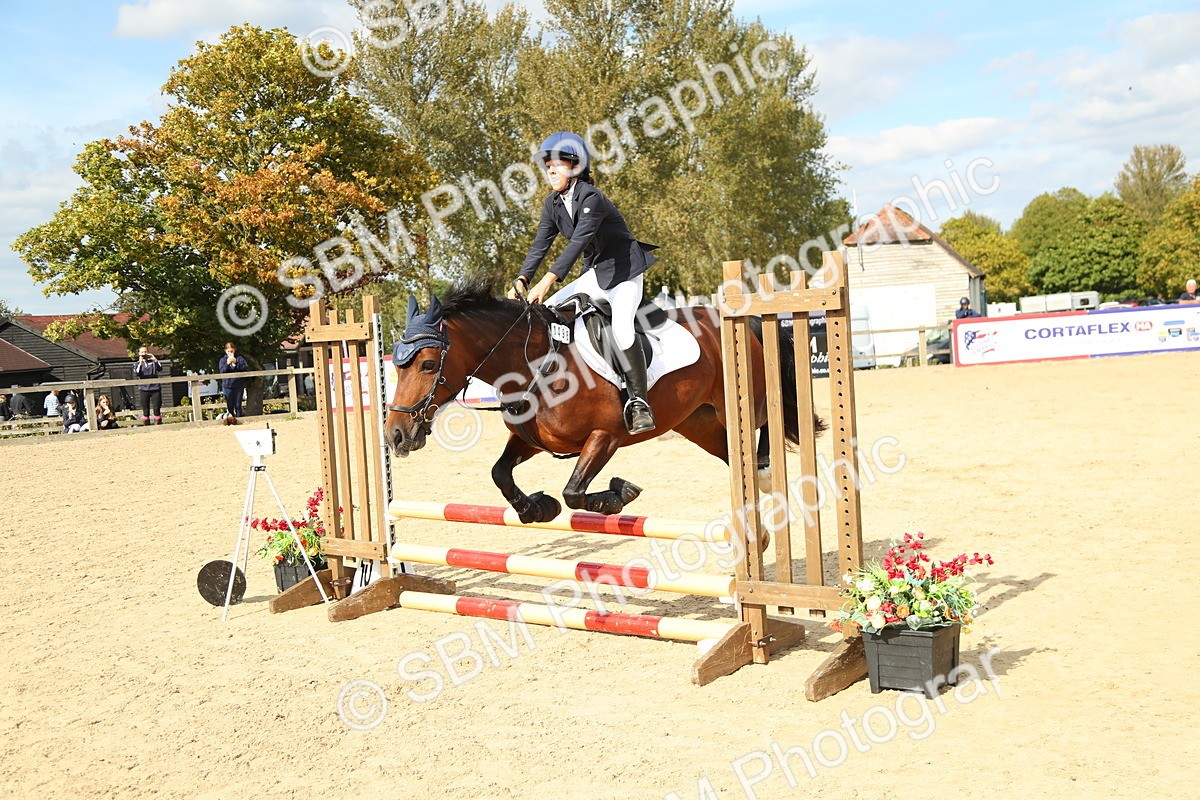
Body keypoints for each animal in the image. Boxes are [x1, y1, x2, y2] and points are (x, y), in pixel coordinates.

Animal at [383, 276, 824, 524]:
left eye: (427, 364)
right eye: (396, 365)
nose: (395, 436)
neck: (536, 362)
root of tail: (741, 318)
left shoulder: (605, 436)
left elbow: (574, 491)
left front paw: (619, 493)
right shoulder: (534, 440)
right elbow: (500, 473)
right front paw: (535, 508)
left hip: (745, 400)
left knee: (766, 422)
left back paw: (764, 470)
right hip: (699, 424)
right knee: (734, 452)